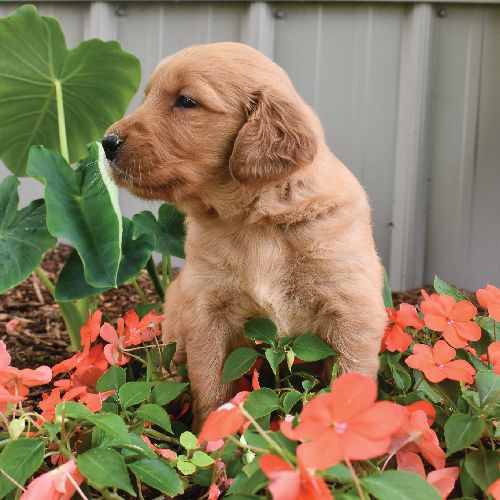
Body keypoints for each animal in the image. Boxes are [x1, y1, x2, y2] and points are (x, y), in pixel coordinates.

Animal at [103, 42, 386, 430]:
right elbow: (211, 387)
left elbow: (349, 379)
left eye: (186, 101)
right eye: (147, 98)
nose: (106, 142)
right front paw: (209, 439)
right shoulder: (207, 311)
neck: (258, 220)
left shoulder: (352, 311)